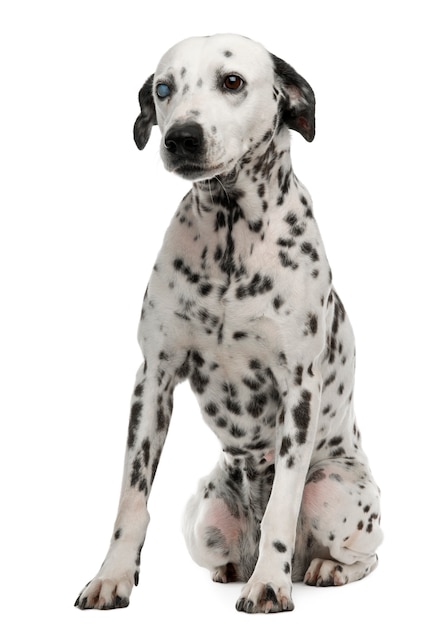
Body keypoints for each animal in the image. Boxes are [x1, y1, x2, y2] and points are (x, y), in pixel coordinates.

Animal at [75, 33, 384, 608]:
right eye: (164, 88)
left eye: (233, 81)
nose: (182, 137)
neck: (230, 231)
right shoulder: (153, 379)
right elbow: (132, 498)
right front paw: (112, 576)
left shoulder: (298, 389)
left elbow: (282, 505)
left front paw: (269, 585)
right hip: (204, 514)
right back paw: (234, 568)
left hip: (333, 490)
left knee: (364, 555)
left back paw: (322, 569)